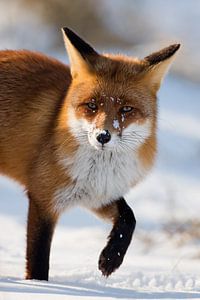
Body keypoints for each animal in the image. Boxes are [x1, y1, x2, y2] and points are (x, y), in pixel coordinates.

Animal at [0, 28, 180, 282]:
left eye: (126, 109)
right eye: (92, 105)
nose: (103, 136)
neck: (97, 170)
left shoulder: (96, 194)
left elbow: (129, 217)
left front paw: (111, 258)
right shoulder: (44, 198)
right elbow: (38, 262)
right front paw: (38, 286)